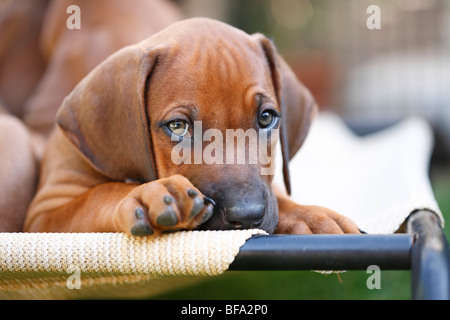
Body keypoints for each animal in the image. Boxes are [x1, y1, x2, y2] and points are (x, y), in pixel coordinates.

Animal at [25, 18, 362, 236]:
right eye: (178, 126)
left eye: (267, 118)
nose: (246, 215)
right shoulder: (45, 215)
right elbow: (98, 196)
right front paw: (145, 194)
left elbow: (279, 197)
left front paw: (311, 216)